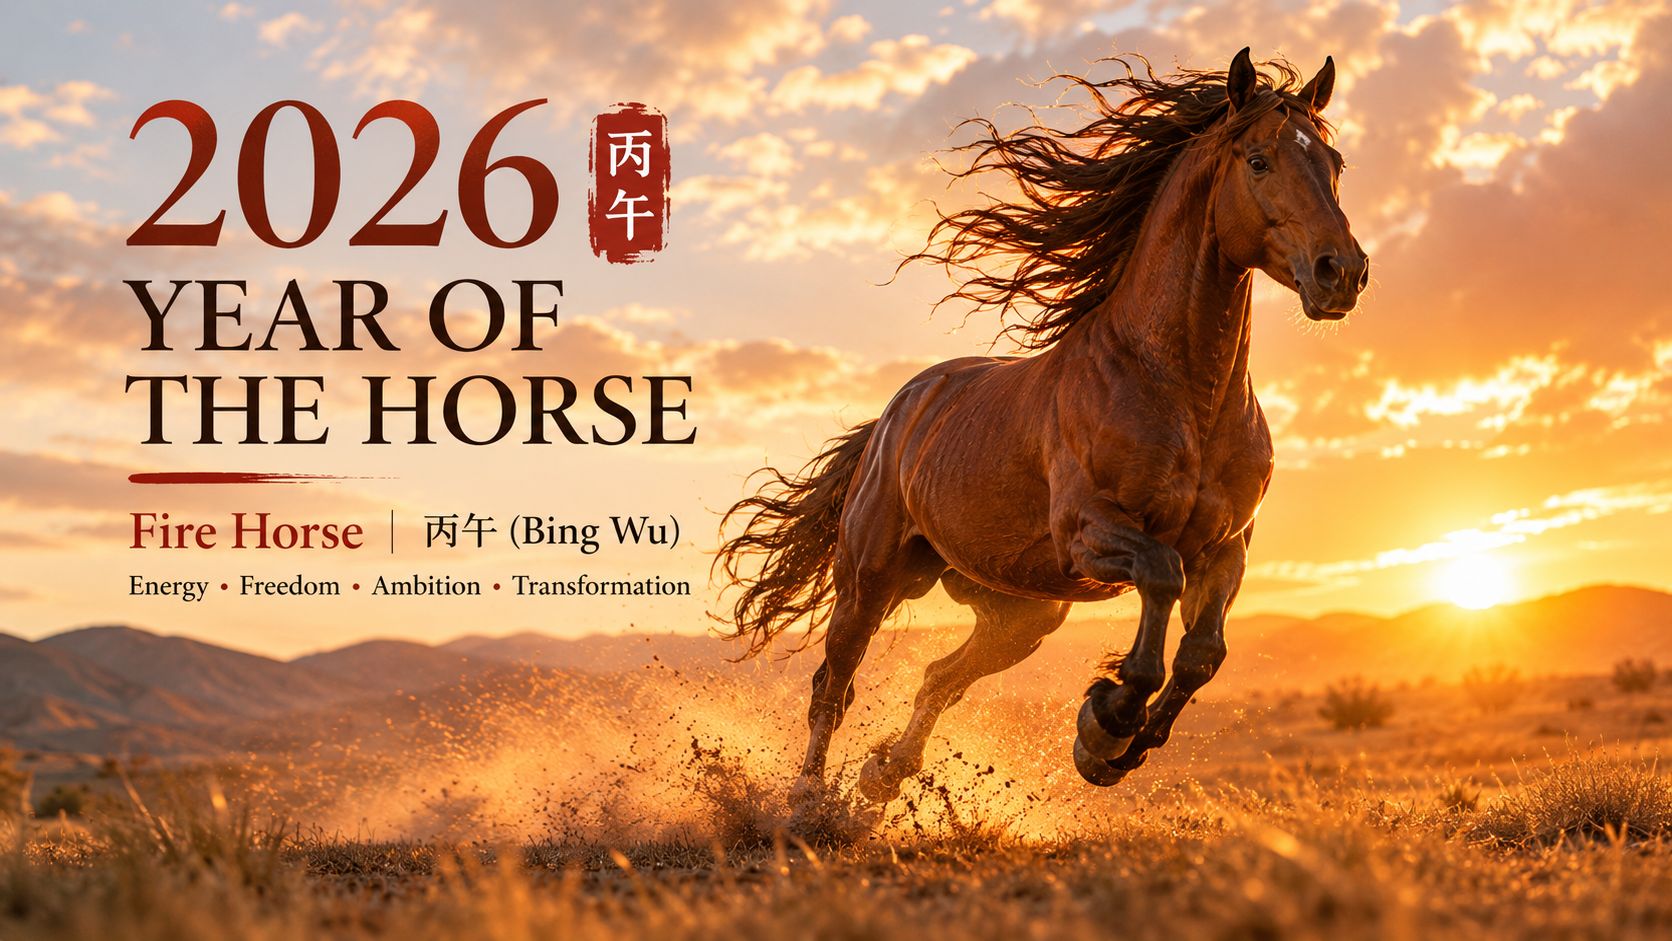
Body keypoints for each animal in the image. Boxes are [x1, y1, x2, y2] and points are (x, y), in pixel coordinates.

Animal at [715, 48, 1368, 803]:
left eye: (1335, 162)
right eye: (1259, 160)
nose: (1341, 271)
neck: (1184, 394)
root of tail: (897, 413)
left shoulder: (1226, 545)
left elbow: (1204, 654)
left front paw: (1113, 746)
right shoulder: (1088, 529)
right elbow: (1160, 580)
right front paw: (1105, 723)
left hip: (1019, 610)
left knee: (940, 678)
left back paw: (881, 776)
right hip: (871, 576)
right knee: (834, 683)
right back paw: (808, 803)